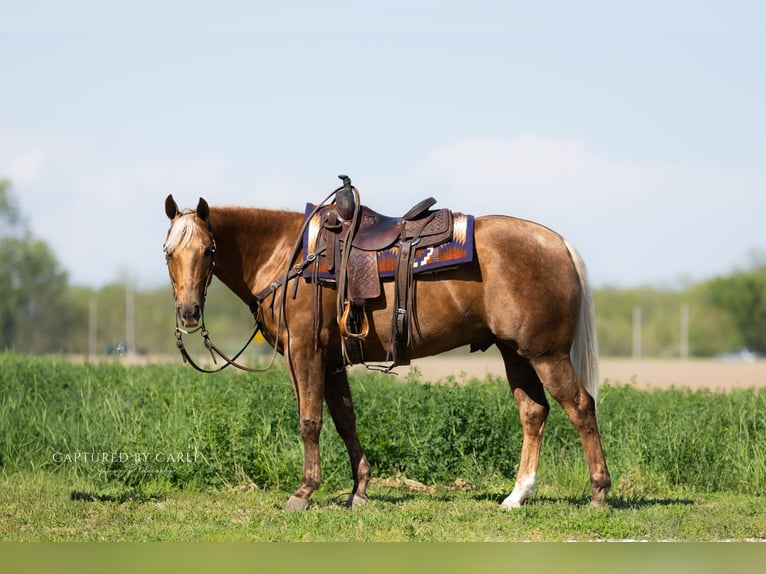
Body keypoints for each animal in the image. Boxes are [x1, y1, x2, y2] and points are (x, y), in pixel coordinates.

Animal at [162, 192, 610, 511]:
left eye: (207, 251)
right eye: (169, 253)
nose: (187, 312)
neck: (287, 256)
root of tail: (558, 243)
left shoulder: (305, 352)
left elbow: (310, 421)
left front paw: (304, 492)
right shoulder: (332, 360)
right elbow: (345, 421)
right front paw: (359, 490)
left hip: (546, 354)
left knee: (581, 407)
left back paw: (599, 494)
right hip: (515, 352)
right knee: (534, 412)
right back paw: (517, 496)